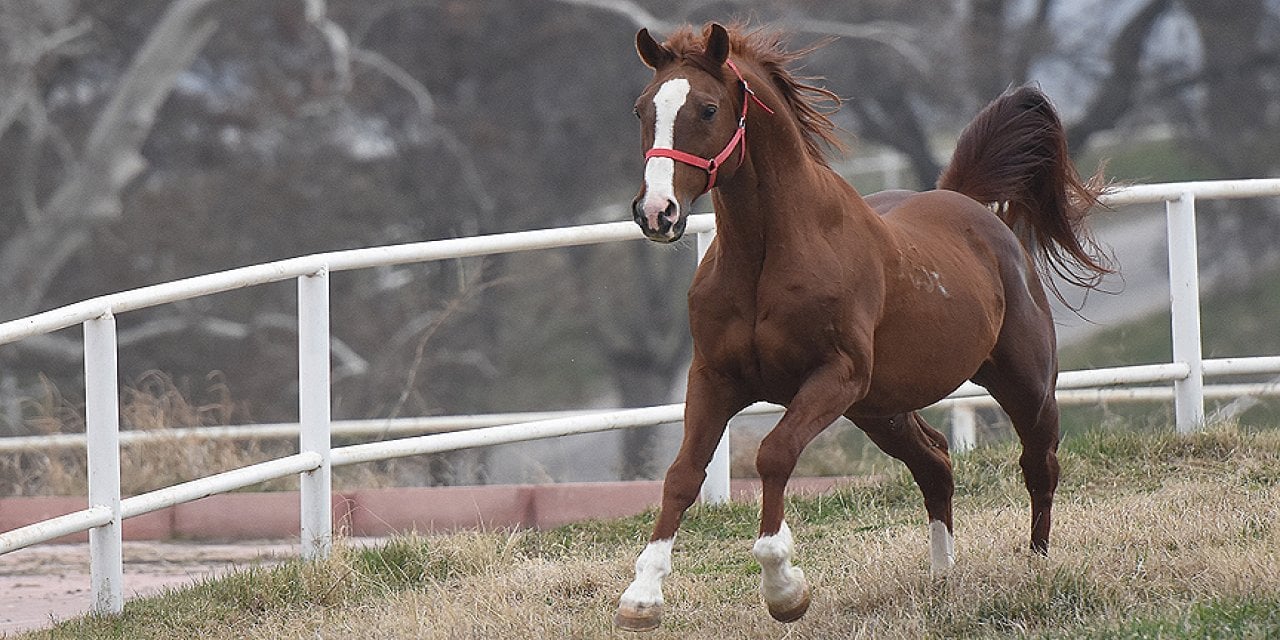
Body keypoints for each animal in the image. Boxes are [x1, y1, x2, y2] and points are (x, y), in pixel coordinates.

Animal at [614, 23, 1116, 629]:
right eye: (642, 108)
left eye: (708, 109)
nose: (656, 212)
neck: (769, 255)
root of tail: (968, 206)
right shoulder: (714, 379)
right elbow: (683, 474)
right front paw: (642, 597)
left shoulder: (836, 376)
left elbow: (773, 455)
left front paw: (784, 588)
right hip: (881, 410)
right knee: (936, 464)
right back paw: (941, 578)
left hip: (1025, 385)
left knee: (1039, 465)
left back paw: (1036, 568)